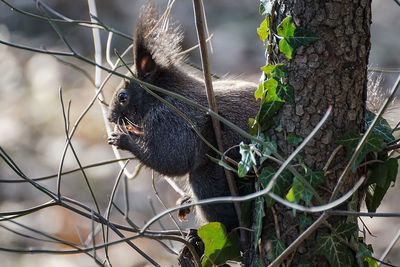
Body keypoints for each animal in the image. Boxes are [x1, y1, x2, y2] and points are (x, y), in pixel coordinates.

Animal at [108, 4, 258, 232]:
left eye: (122, 97)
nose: (110, 118)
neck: (165, 97)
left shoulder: (174, 122)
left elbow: (171, 159)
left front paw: (122, 140)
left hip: (209, 178)